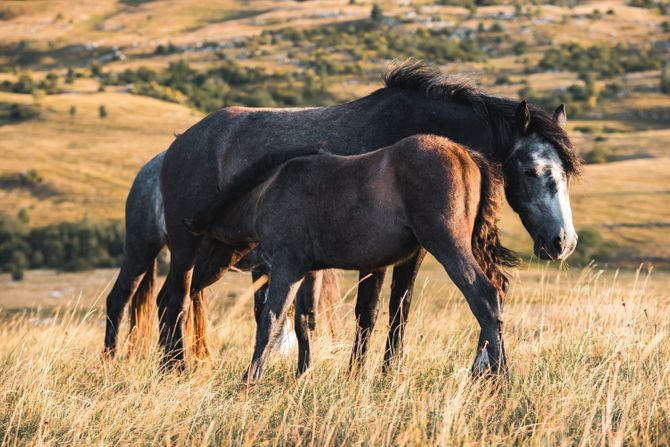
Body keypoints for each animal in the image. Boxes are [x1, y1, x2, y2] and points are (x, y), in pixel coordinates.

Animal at [188, 135, 520, 380]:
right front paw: (303, 375)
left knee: (484, 297)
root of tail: (465, 154)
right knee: (497, 293)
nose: (193, 284)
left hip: (448, 245)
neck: (271, 188)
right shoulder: (310, 270)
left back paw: (498, 376)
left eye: (200, 243)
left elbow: (271, 319)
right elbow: (305, 321)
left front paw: (251, 378)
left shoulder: (287, 266)